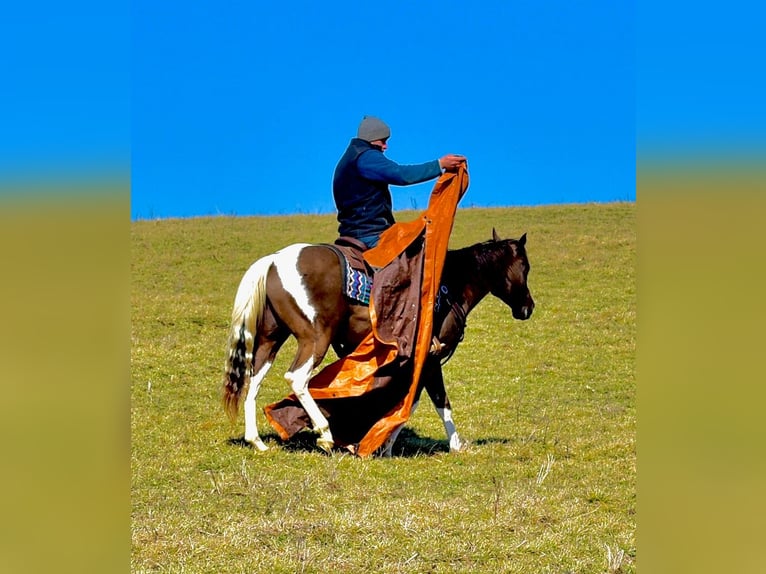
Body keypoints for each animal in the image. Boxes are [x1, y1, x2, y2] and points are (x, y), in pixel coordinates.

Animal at [222, 228, 534, 455]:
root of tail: (273, 260)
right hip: (314, 338)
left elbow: (411, 399)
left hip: (270, 338)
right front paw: (455, 446)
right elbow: (436, 400)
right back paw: (325, 434)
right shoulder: (431, 358)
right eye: (526, 267)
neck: (449, 285)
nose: (528, 307)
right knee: (297, 378)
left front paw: (382, 443)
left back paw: (256, 441)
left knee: (253, 379)